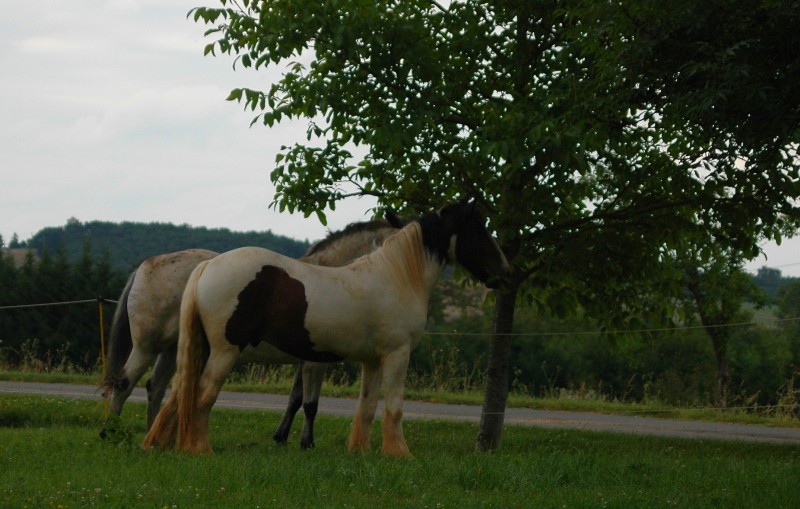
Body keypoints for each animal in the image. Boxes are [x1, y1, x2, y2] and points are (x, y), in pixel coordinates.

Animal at [141, 196, 510, 454]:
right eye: (479, 229)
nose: (505, 272)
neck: (396, 275)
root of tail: (209, 267)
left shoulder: (372, 361)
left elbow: (366, 407)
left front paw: (360, 450)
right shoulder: (396, 355)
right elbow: (393, 407)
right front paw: (399, 453)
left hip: (203, 349)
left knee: (181, 393)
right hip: (224, 352)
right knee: (203, 395)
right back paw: (199, 449)